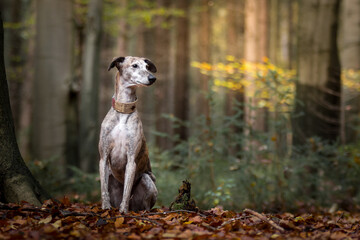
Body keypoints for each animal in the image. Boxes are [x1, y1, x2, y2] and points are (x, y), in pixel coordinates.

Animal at [100, 56, 159, 214]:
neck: (123, 110)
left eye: (147, 67)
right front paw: (105, 207)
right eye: (135, 65)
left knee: (145, 204)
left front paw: (123, 210)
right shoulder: (103, 157)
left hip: (146, 180)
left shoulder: (131, 160)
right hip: (111, 175)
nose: (153, 78)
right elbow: (103, 188)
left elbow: (126, 191)